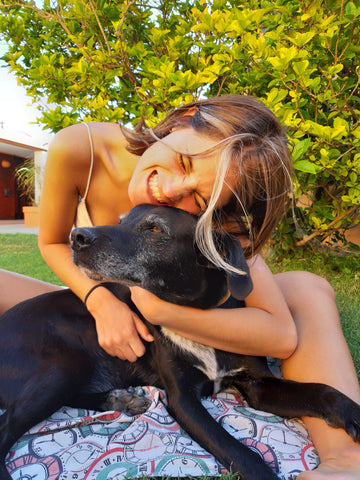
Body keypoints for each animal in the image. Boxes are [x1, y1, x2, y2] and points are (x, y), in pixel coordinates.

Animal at [0, 203, 360, 480]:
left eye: (155, 229)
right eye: (120, 220)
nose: (76, 236)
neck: (196, 315)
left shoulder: (258, 385)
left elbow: (322, 390)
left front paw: (352, 412)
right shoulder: (182, 399)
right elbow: (239, 452)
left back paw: (121, 399)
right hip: (60, 367)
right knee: (6, 427)